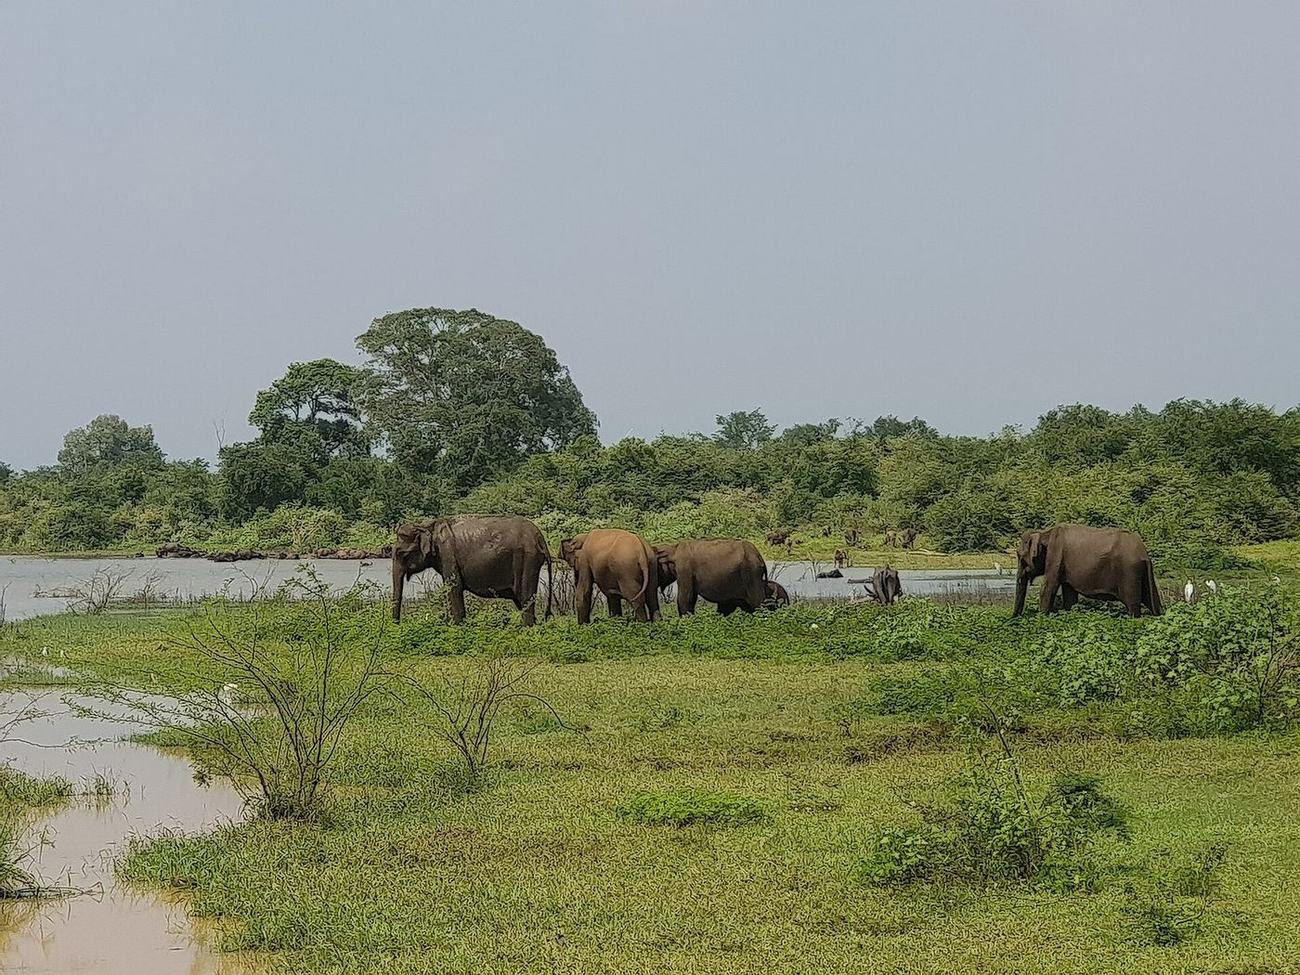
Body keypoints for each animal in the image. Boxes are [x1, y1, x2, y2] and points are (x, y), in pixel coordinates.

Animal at [391, 516, 552, 625]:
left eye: (401, 553)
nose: (397, 625)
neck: (427, 526)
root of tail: (541, 538)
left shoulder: (447, 554)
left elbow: (454, 588)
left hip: (528, 561)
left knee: (526, 600)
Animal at [1013, 524, 1163, 618]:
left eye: (1020, 557)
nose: (1015, 618)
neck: (1044, 532)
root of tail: (1143, 552)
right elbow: (1069, 595)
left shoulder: (1055, 556)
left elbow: (1048, 588)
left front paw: (1042, 617)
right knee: (1153, 602)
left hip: (1129, 573)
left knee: (1133, 605)